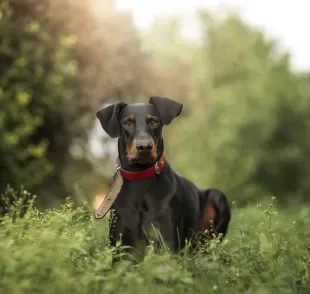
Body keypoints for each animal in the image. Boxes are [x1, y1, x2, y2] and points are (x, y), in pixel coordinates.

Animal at [96, 97, 230, 256]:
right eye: (127, 123)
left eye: (154, 122)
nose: (144, 147)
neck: (140, 178)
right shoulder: (120, 246)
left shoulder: (167, 243)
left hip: (217, 197)